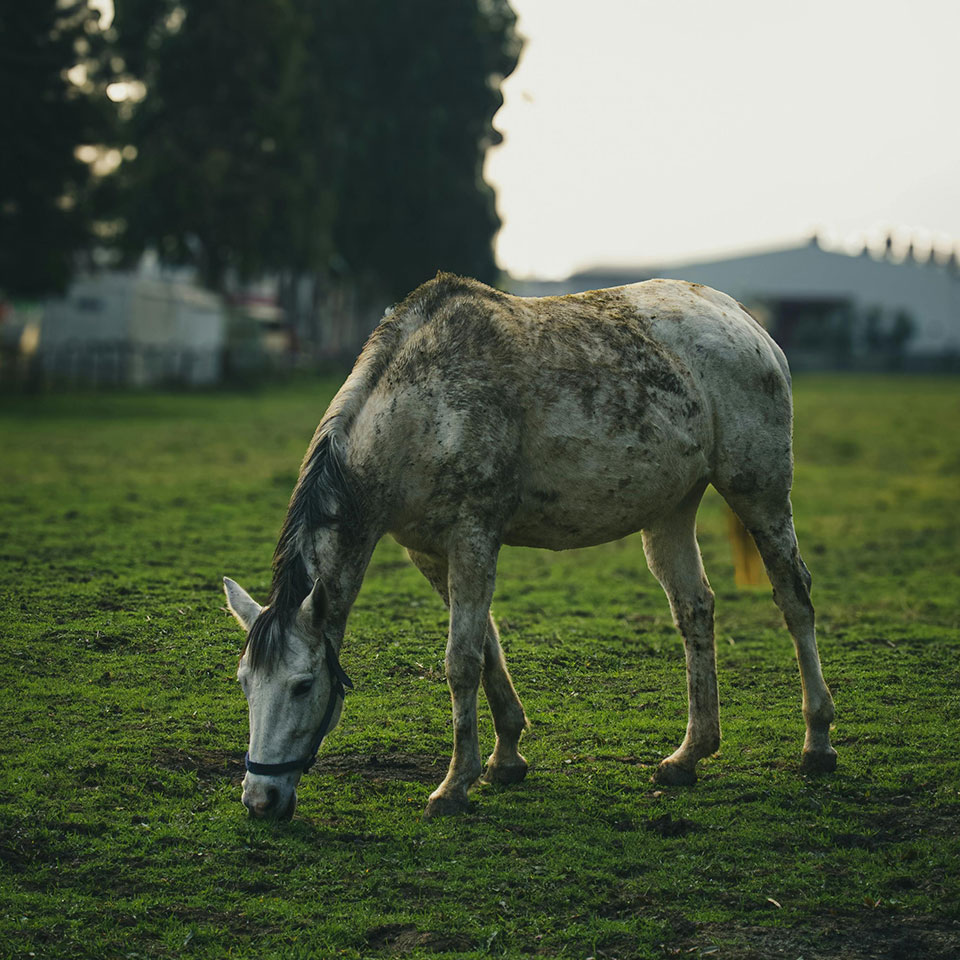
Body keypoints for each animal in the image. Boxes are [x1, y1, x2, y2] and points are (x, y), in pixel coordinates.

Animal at [223, 272, 837, 820]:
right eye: (245, 683)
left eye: (303, 686)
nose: (260, 801)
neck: (420, 410)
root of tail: (742, 319)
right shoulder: (429, 551)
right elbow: (488, 645)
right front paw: (506, 757)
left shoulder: (473, 535)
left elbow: (461, 661)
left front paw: (453, 787)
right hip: (670, 510)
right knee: (694, 609)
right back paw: (688, 755)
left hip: (759, 492)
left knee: (794, 598)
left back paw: (817, 743)